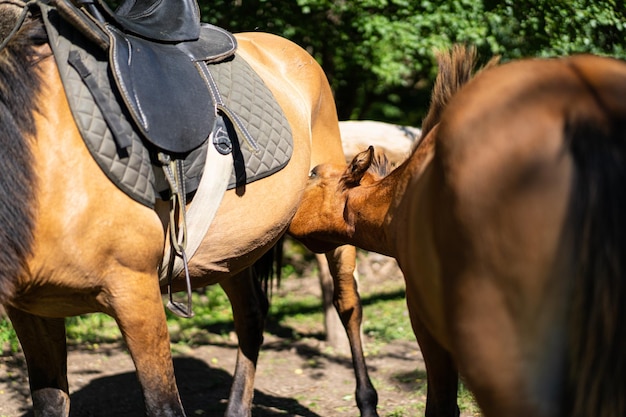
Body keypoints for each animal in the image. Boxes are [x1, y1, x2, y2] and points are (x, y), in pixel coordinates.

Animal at [0, 4, 376, 416]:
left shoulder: (135, 293)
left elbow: (164, 405)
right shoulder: (31, 310)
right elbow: (50, 402)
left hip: (334, 218)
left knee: (348, 304)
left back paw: (367, 399)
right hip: (233, 250)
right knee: (251, 314)